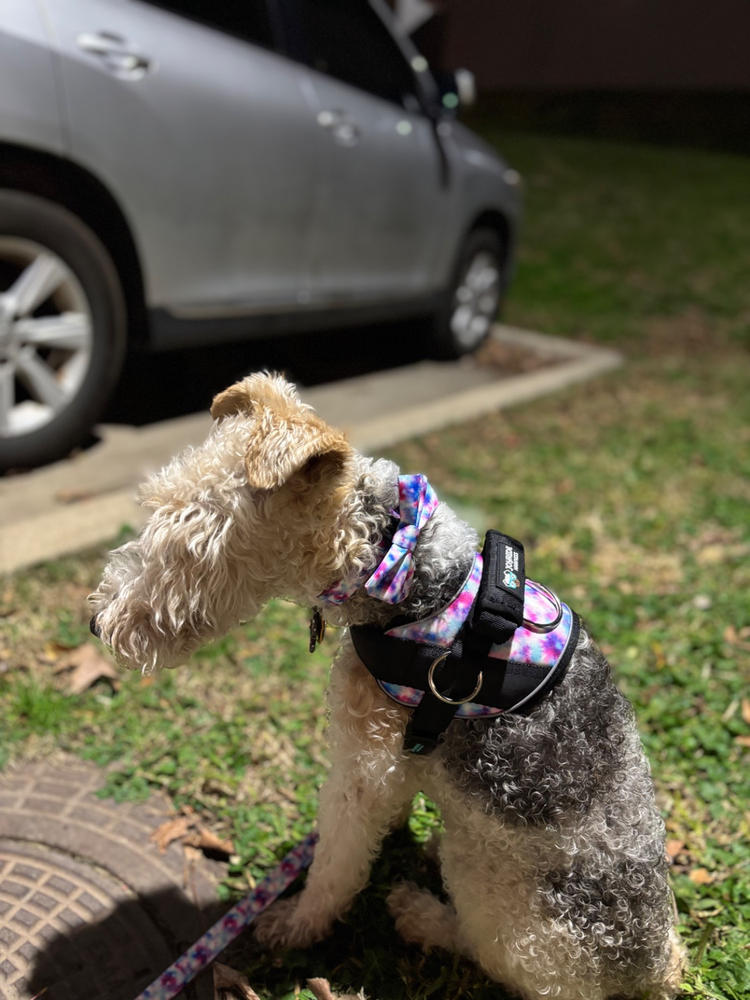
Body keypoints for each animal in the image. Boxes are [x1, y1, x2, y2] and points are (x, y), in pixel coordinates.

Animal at [91, 372, 684, 996]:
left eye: (194, 540)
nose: (98, 624)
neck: (404, 571)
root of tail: (653, 970)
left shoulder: (362, 767)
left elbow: (335, 864)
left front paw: (295, 925)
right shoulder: (391, 761)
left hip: (496, 889)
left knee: (493, 955)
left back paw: (418, 913)